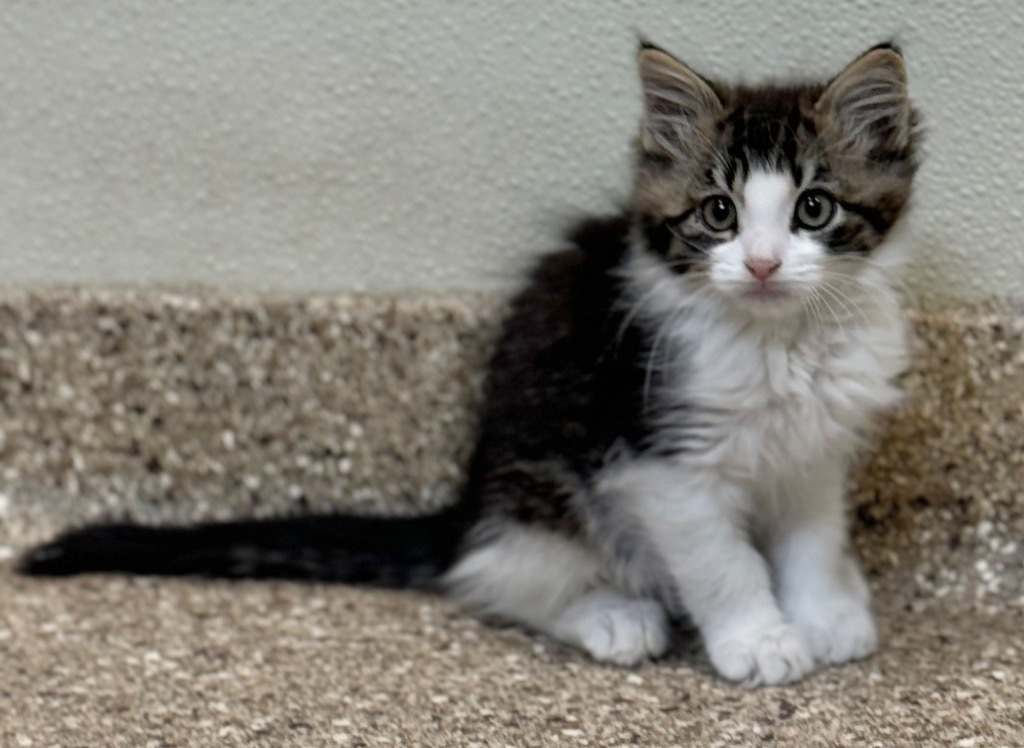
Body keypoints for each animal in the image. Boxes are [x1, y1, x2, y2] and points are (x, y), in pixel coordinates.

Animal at [22, 40, 921, 680]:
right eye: (719, 213)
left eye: (814, 209)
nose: (764, 265)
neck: (781, 341)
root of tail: (467, 503)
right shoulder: (658, 458)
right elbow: (723, 562)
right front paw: (760, 641)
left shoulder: (814, 448)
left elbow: (811, 538)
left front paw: (824, 616)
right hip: (543, 481)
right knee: (495, 574)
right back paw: (611, 614)